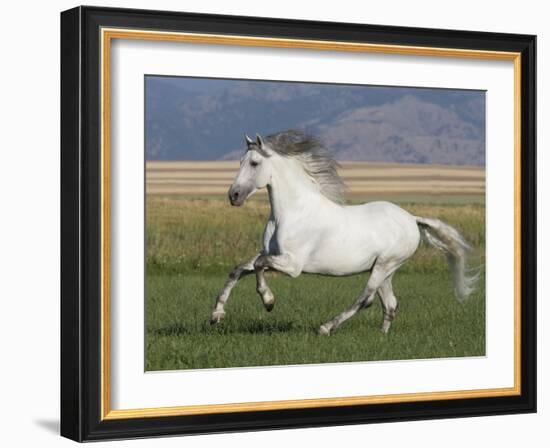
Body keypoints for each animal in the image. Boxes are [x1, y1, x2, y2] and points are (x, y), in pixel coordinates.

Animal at [211, 130, 478, 332]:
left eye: (254, 163)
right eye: (240, 162)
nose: (234, 196)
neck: (291, 212)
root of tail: (412, 219)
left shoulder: (292, 265)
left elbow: (258, 266)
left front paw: (268, 302)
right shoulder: (271, 254)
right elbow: (238, 269)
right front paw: (216, 315)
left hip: (385, 265)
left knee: (365, 299)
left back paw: (326, 327)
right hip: (385, 269)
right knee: (390, 303)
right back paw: (382, 337)